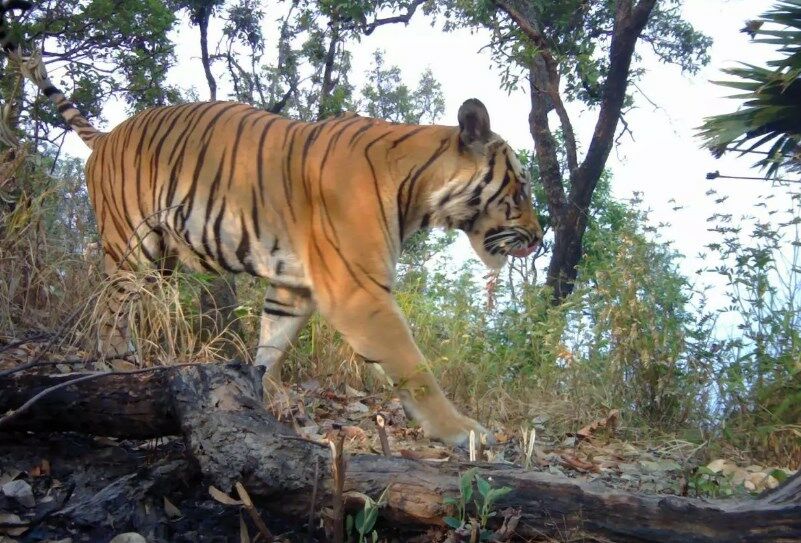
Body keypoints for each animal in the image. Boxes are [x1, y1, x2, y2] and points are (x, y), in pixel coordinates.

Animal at [0, 0, 543, 445]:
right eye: (520, 190)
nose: (539, 239)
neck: (417, 187)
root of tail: (107, 134)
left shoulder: (293, 286)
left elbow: (271, 344)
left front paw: (258, 393)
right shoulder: (359, 292)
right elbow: (414, 366)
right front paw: (464, 433)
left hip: (160, 261)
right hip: (132, 252)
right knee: (109, 314)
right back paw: (117, 365)